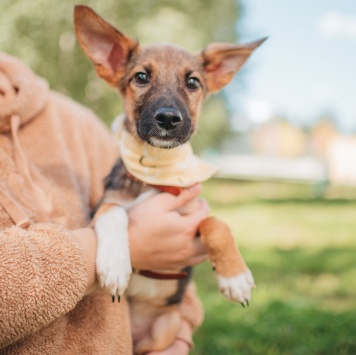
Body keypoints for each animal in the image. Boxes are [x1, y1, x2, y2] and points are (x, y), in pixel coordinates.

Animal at [74, 4, 264, 354]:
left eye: (192, 82)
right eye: (141, 77)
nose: (168, 119)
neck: (156, 167)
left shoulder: (195, 210)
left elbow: (216, 224)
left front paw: (235, 277)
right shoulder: (101, 206)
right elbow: (114, 210)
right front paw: (115, 264)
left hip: (167, 326)